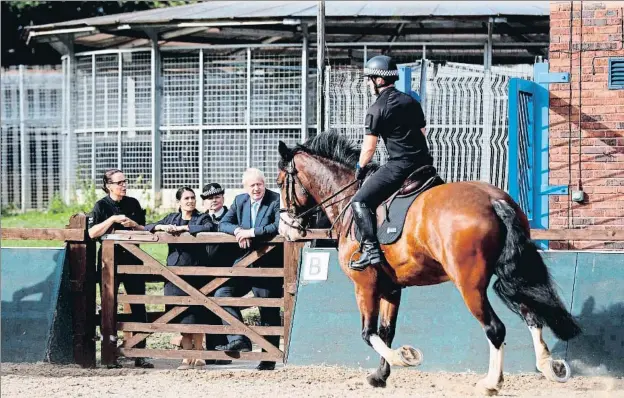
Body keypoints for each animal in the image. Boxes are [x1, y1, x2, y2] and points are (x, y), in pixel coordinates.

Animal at [276, 132, 584, 396]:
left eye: (280, 182)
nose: (286, 229)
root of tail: (493, 200)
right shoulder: (391, 287)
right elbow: (386, 331)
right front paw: (380, 376)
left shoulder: (365, 284)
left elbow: (368, 333)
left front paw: (405, 357)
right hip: (507, 274)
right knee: (531, 314)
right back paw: (549, 366)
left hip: (469, 286)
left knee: (495, 329)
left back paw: (491, 383)